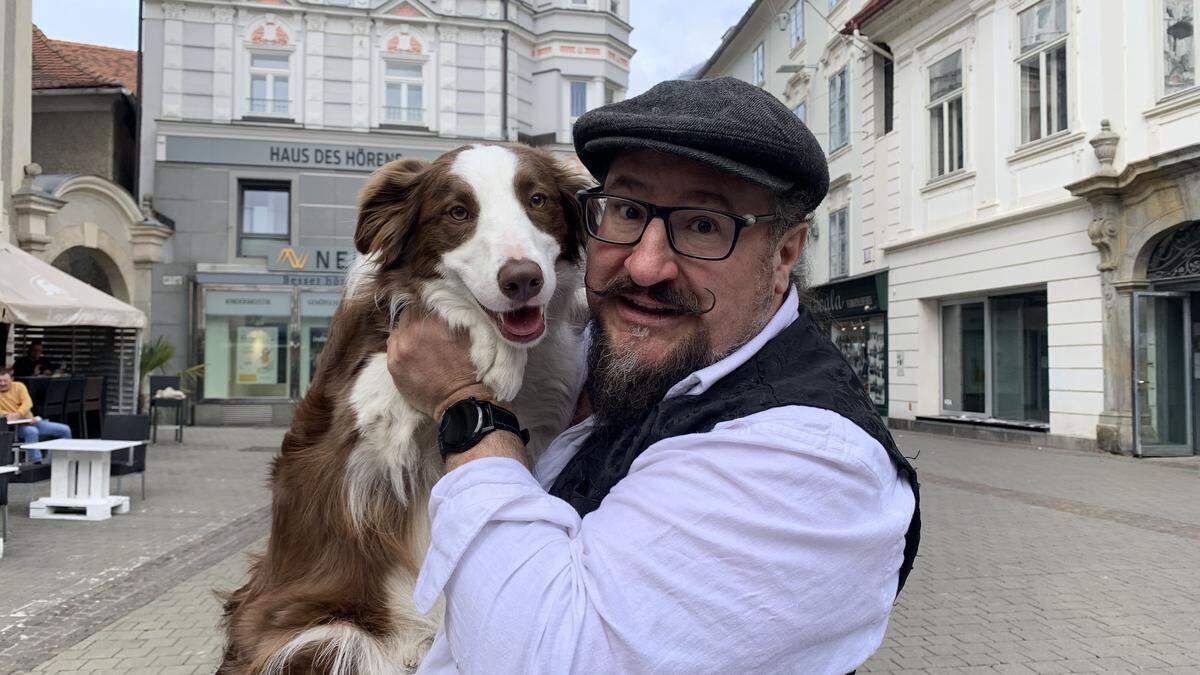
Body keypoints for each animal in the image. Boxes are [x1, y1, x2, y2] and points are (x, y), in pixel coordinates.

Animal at [219, 144, 590, 667]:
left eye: (537, 200)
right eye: (458, 212)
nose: (523, 281)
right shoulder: (358, 426)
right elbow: (416, 332)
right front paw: (484, 342)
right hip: (321, 640)